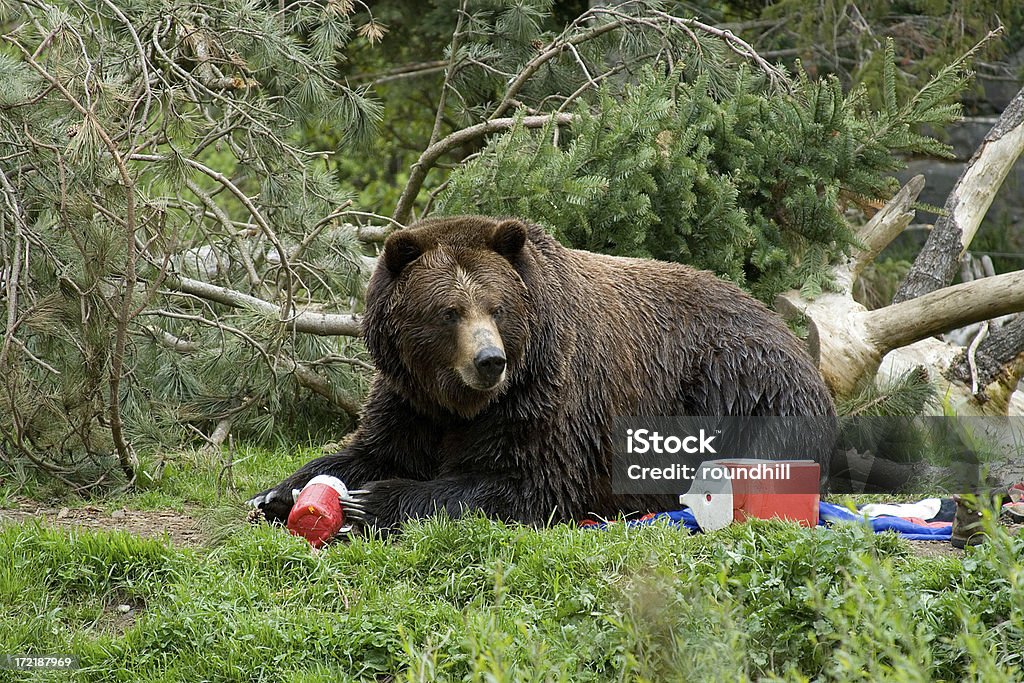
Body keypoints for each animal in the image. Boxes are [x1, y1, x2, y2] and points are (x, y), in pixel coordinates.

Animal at [247, 216, 831, 532]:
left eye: (497, 307)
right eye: (449, 311)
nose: (489, 361)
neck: (462, 402)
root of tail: (782, 327)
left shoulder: (546, 398)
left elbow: (525, 483)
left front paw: (371, 502)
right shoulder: (409, 399)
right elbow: (369, 448)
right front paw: (275, 495)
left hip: (737, 380)